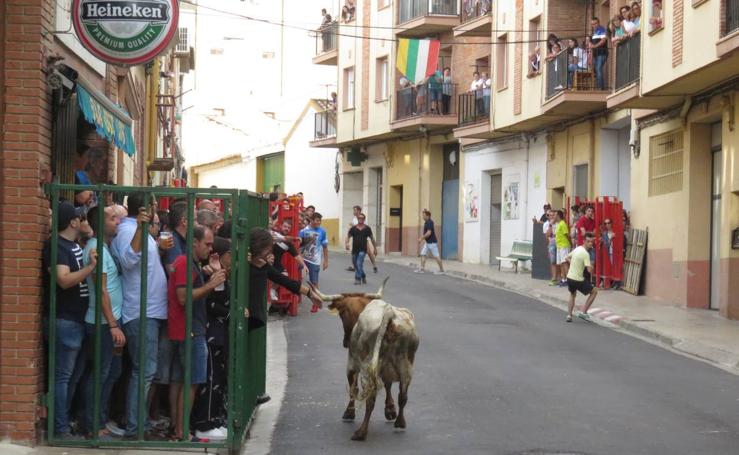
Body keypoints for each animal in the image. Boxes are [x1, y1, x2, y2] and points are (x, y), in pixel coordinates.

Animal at [310, 278, 420, 442]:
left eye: (342, 314)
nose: (345, 342)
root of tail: (389, 313)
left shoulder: (352, 364)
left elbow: (353, 388)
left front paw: (349, 412)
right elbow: (388, 385)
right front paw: (390, 410)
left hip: (368, 367)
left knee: (370, 399)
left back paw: (361, 432)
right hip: (406, 366)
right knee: (403, 395)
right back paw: (400, 422)